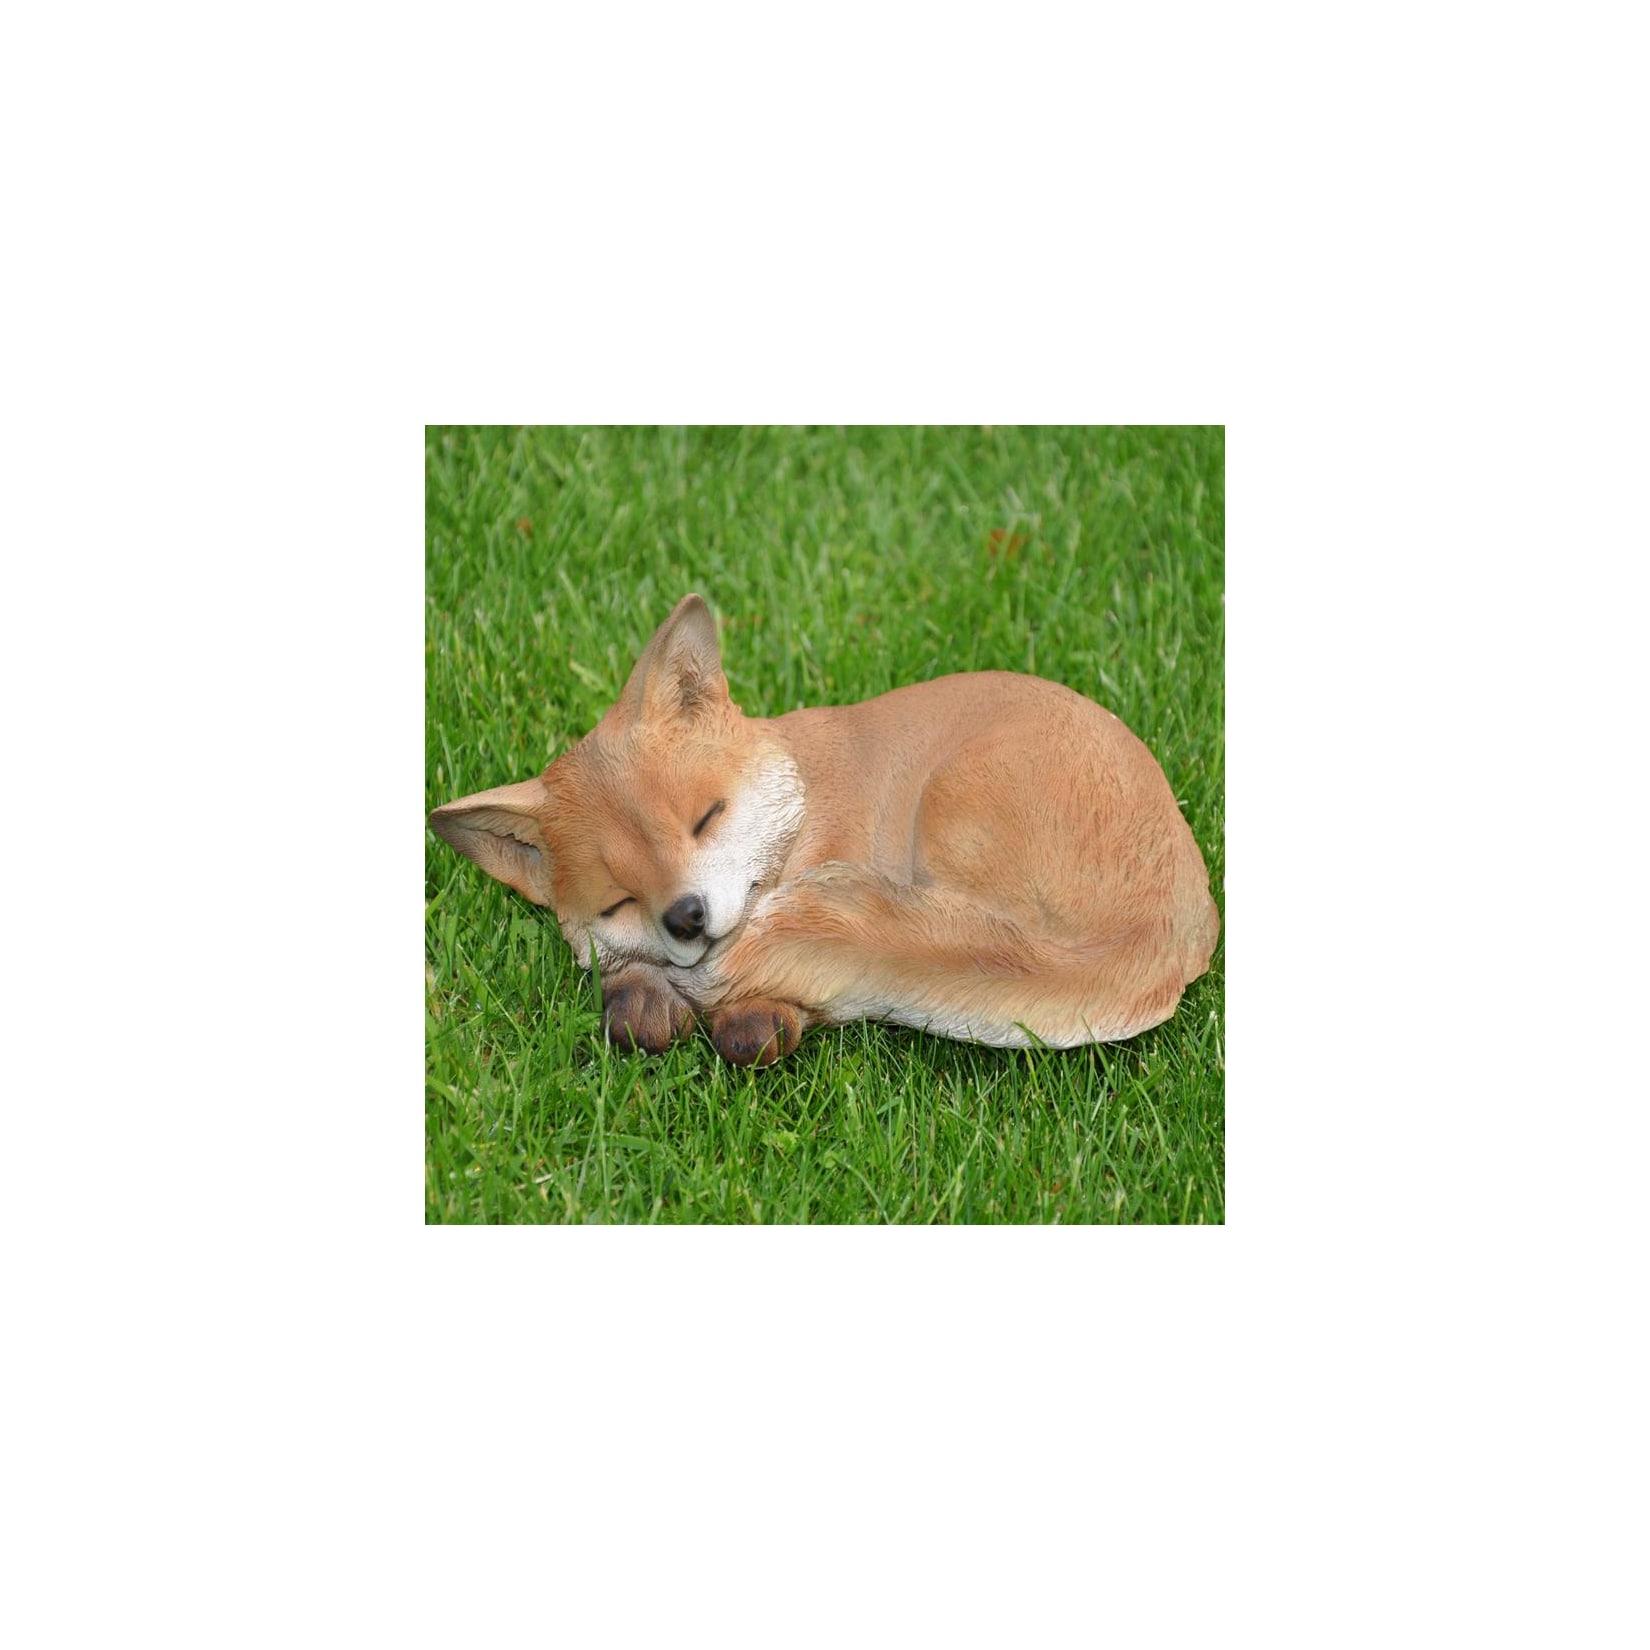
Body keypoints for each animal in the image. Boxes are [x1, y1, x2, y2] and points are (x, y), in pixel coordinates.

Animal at [429, 595, 1219, 1066]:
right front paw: (647, 997)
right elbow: (631, 996)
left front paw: (752, 1014)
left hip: (953, 807)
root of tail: (1151, 935)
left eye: (705, 818)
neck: (811, 809)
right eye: (619, 900)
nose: (686, 917)